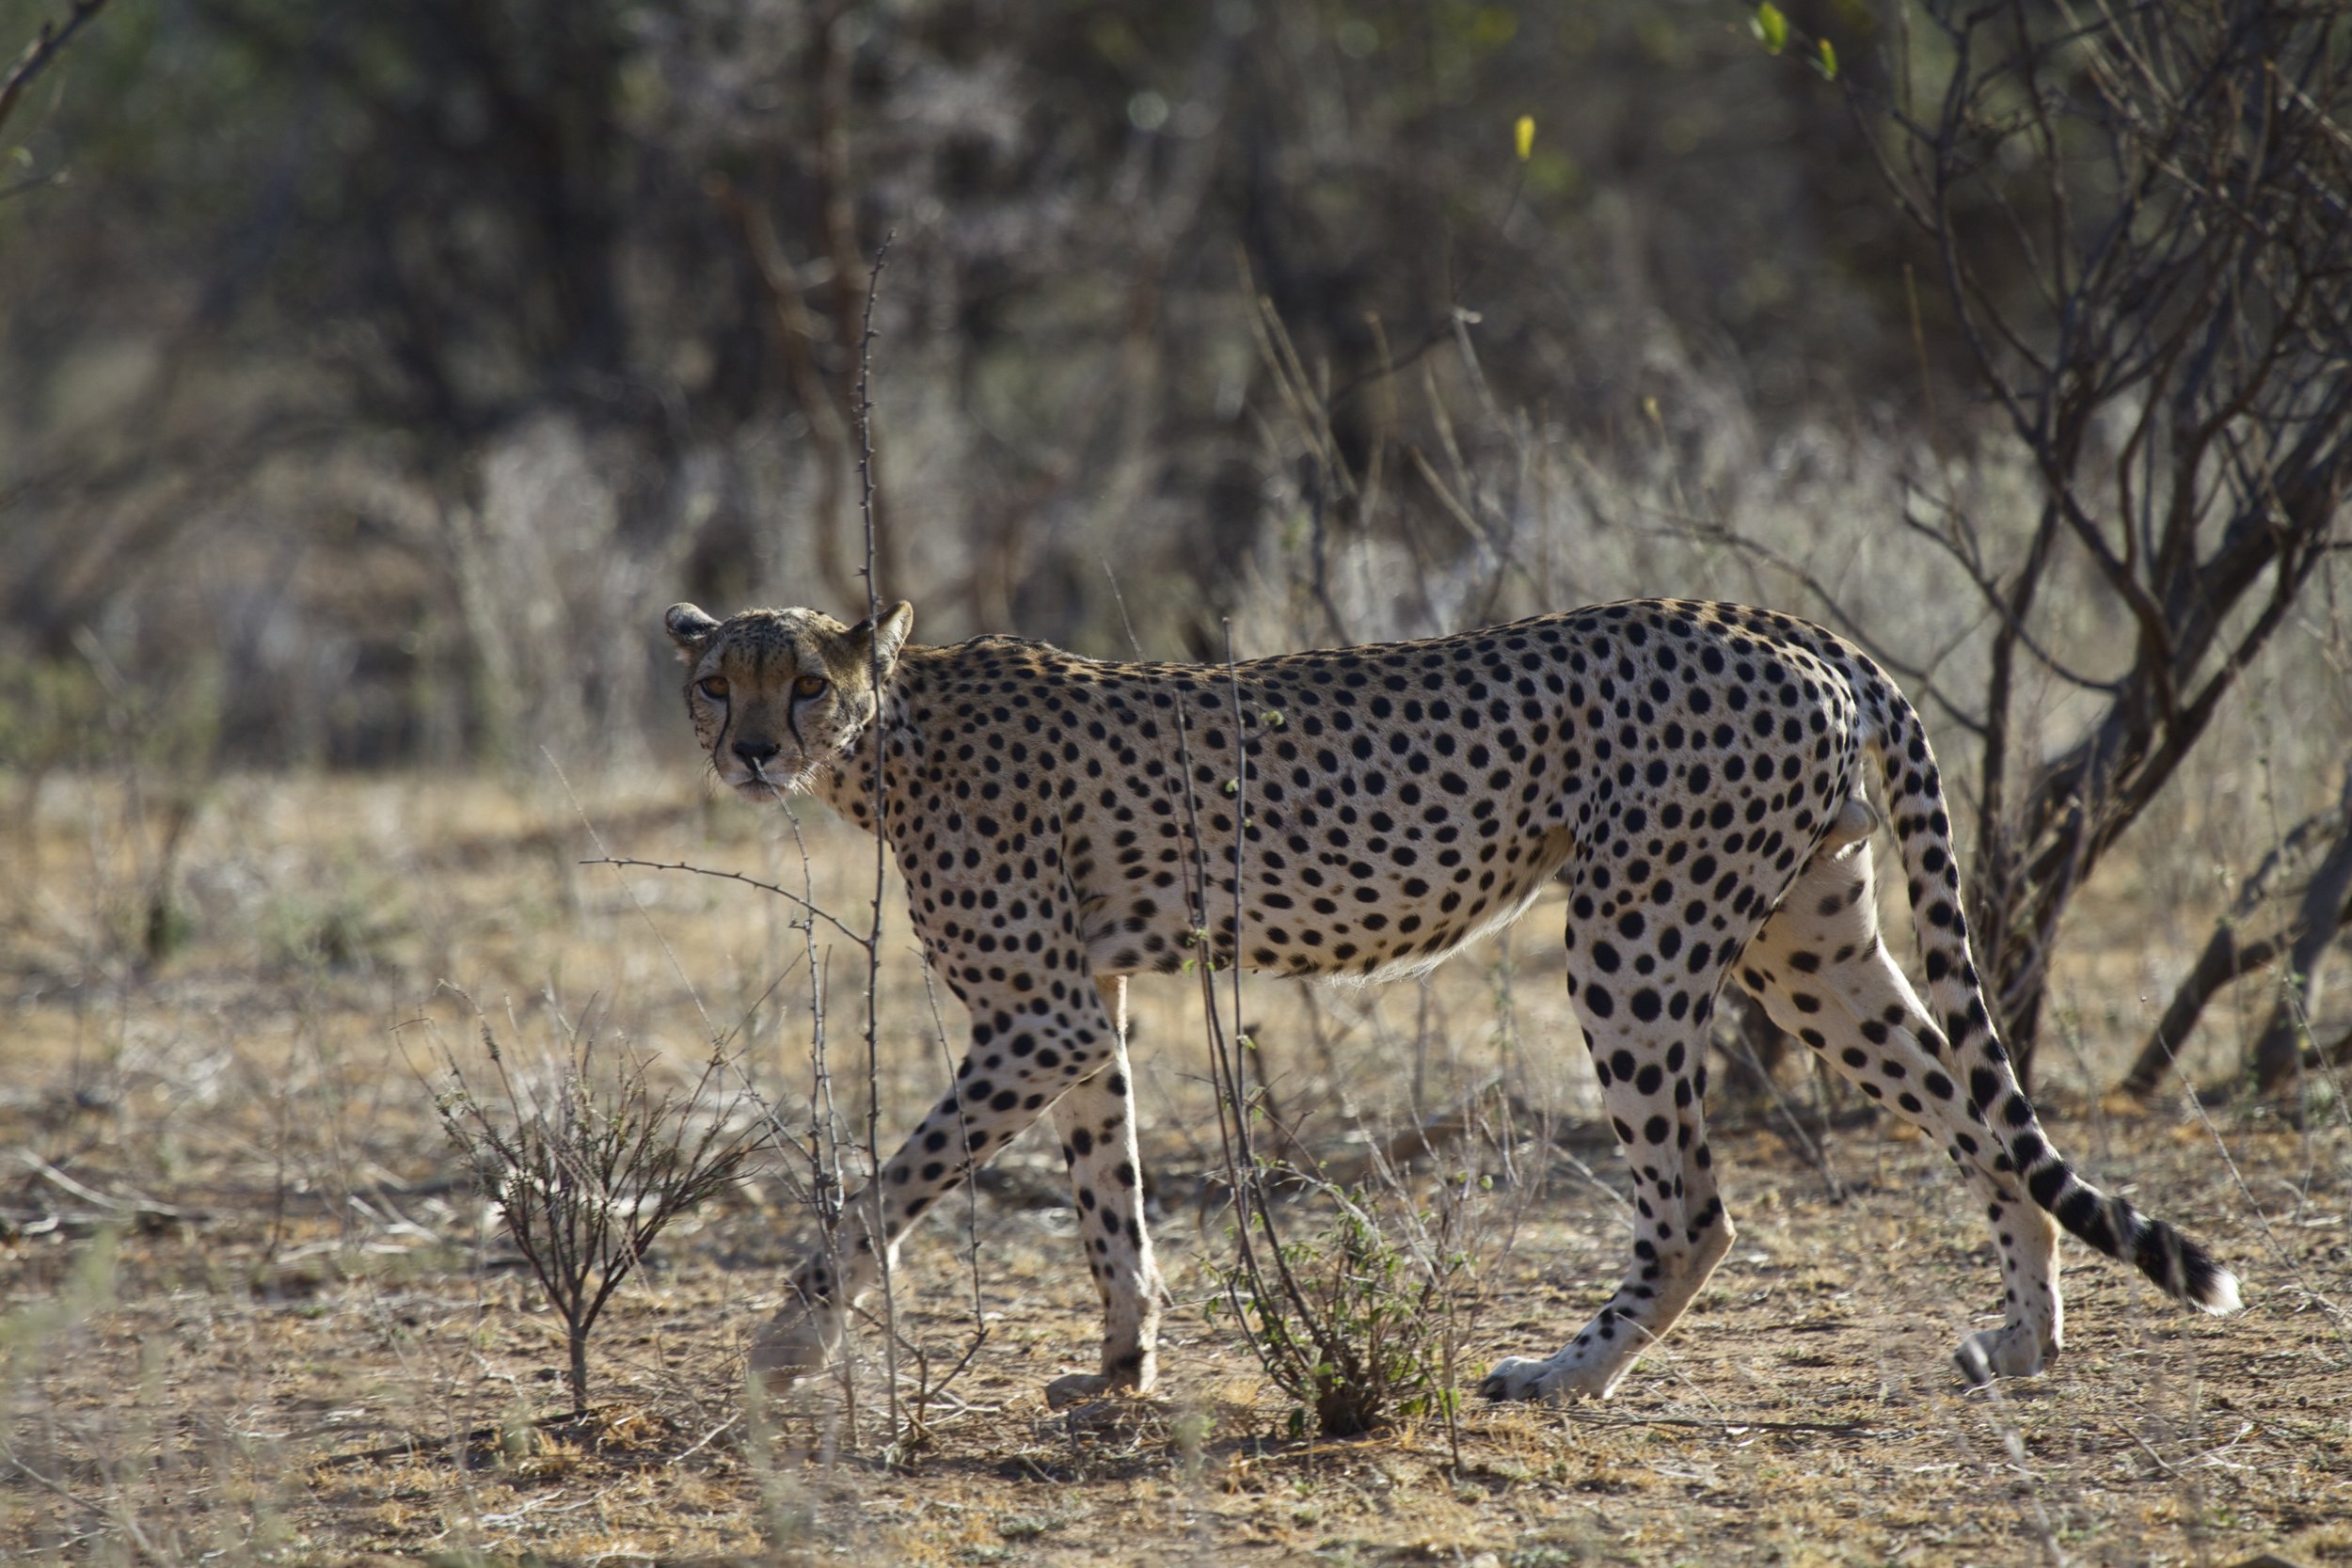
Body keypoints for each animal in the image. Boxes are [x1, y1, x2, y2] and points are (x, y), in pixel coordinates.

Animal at [664, 595, 2239, 1406]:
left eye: (805, 684)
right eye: (715, 680)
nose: (750, 750)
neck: (895, 731)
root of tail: (1786, 622)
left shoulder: (1037, 1012)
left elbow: (883, 1185)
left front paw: (790, 1341)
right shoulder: (1084, 1008)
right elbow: (1110, 1199)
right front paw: (1121, 1366)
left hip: (1636, 934)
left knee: (1699, 1209)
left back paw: (1562, 1371)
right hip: (1811, 943)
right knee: (1979, 1111)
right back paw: (2029, 1337)